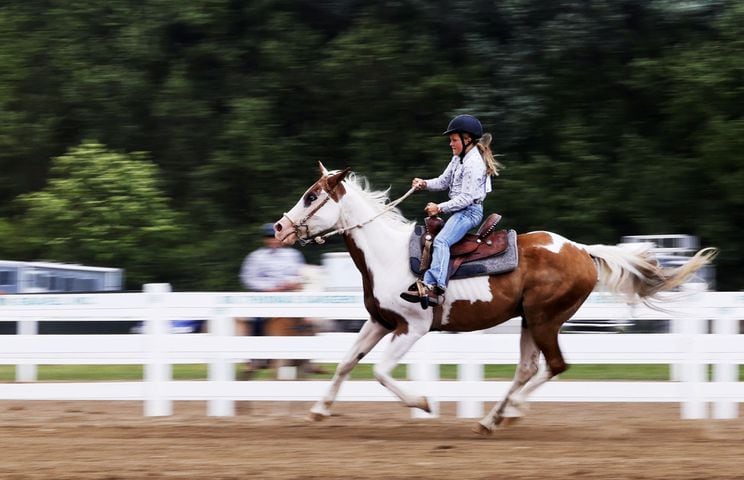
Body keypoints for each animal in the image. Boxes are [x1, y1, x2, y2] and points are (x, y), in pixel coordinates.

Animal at [274, 162, 716, 436]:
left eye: (312, 196)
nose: (278, 227)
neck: (388, 255)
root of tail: (582, 250)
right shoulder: (380, 322)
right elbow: (347, 362)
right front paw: (319, 410)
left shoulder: (412, 327)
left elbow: (381, 372)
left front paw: (423, 402)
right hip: (528, 321)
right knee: (528, 368)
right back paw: (492, 418)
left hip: (544, 319)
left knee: (554, 366)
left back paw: (506, 412)